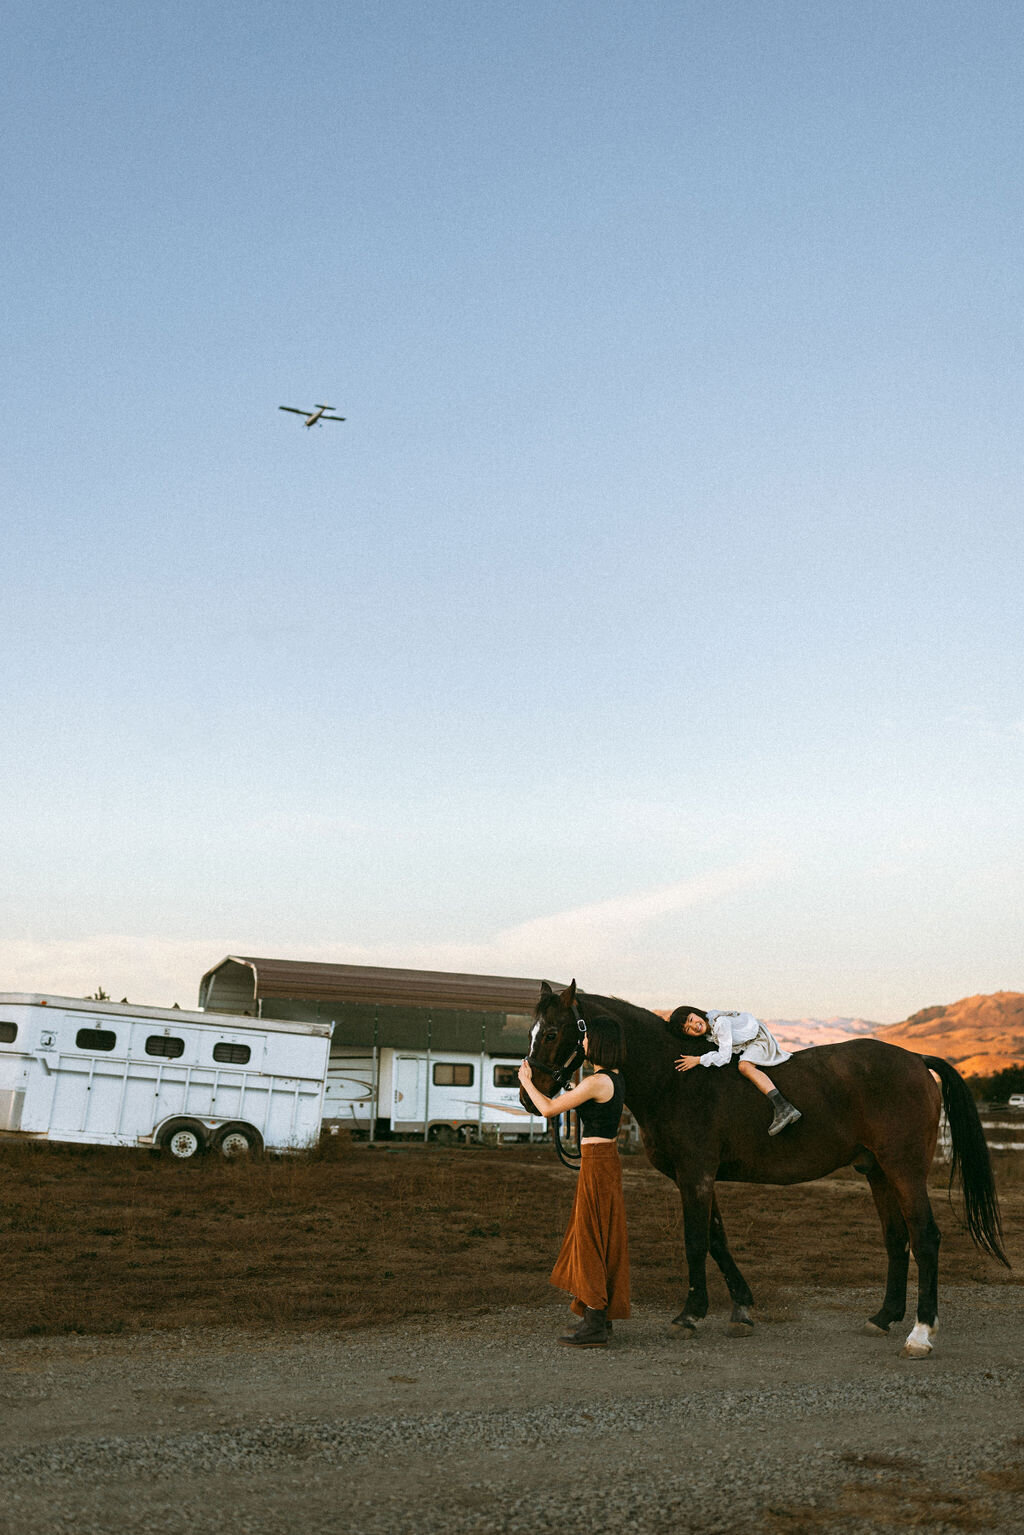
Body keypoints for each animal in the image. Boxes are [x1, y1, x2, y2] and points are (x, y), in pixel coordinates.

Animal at [528, 982, 1007, 1356]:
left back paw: (921, 1334)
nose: (532, 1095)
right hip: (878, 1174)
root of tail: (916, 1059)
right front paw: (741, 1309)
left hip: (904, 1171)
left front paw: (689, 1316)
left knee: (925, 1238)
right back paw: (883, 1317)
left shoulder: (695, 1175)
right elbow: (717, 1240)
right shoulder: (699, 1177)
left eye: (551, 1032)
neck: (676, 1079)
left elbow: (696, 1241)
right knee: (896, 1239)